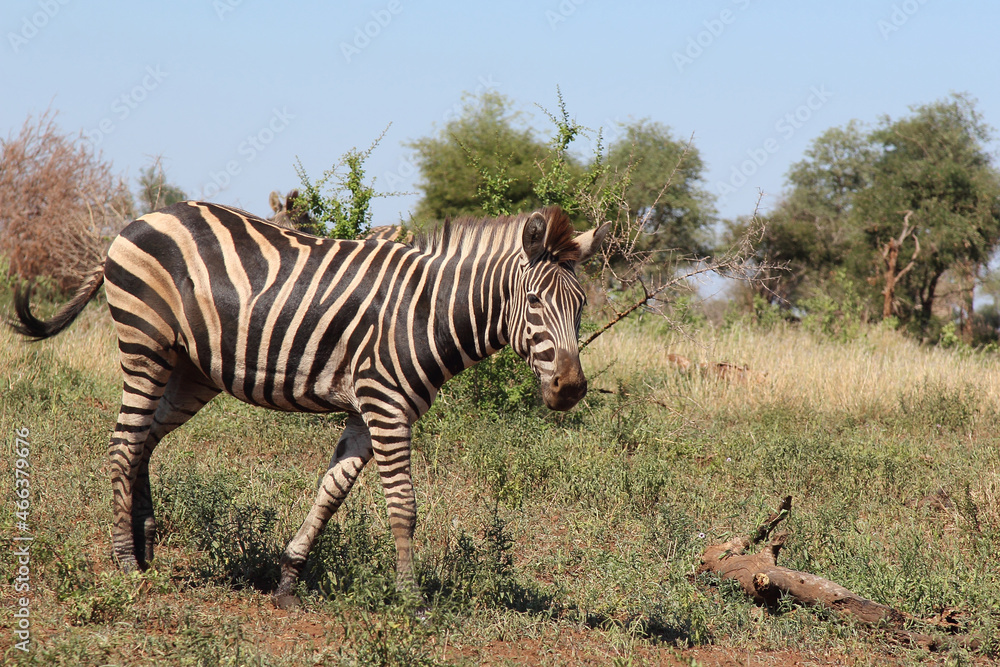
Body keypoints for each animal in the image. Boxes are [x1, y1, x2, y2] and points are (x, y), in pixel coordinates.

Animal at [11, 201, 608, 608]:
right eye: (535, 301)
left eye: (581, 305)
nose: (570, 389)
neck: (425, 311)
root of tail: (139, 219)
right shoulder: (386, 405)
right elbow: (404, 507)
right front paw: (410, 600)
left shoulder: (367, 412)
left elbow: (331, 491)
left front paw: (288, 582)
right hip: (146, 343)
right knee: (122, 444)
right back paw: (125, 561)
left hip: (190, 369)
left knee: (143, 442)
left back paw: (147, 541)